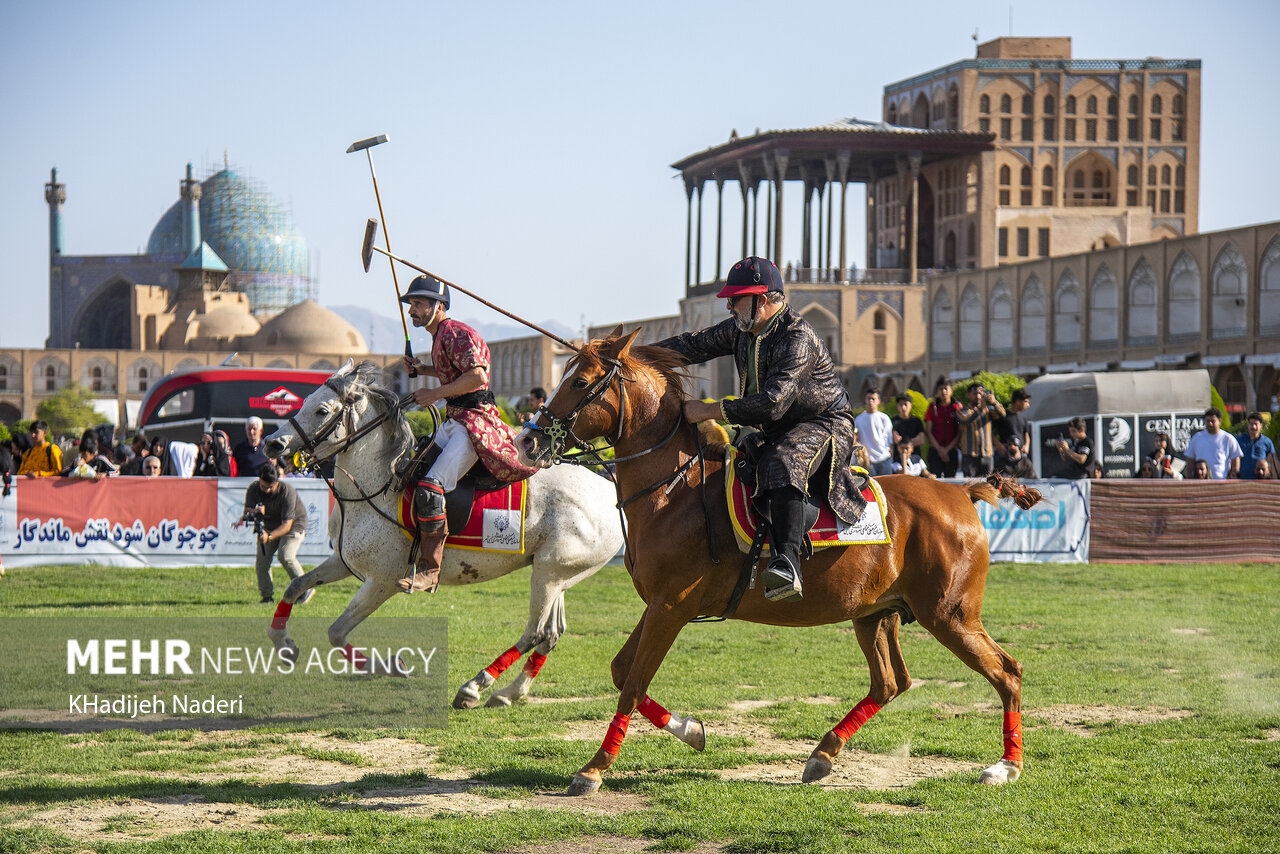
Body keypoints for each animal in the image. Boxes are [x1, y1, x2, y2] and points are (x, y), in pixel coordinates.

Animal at [264, 361, 624, 706]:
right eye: (304, 403)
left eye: (322, 410)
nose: (272, 443)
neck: (376, 487)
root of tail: (610, 489)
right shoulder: (342, 561)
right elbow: (296, 587)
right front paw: (284, 643)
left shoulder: (382, 582)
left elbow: (337, 632)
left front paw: (394, 667)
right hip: (557, 573)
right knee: (551, 634)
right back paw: (510, 693)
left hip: (548, 575)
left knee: (535, 633)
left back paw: (474, 687)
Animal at [514, 330, 1034, 798]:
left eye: (580, 382)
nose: (527, 442)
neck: (674, 491)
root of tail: (961, 492)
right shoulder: (660, 605)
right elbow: (624, 672)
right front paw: (691, 730)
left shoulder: (671, 607)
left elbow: (634, 684)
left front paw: (594, 768)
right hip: (874, 614)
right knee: (891, 682)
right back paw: (823, 754)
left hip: (949, 616)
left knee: (1006, 672)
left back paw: (1005, 767)